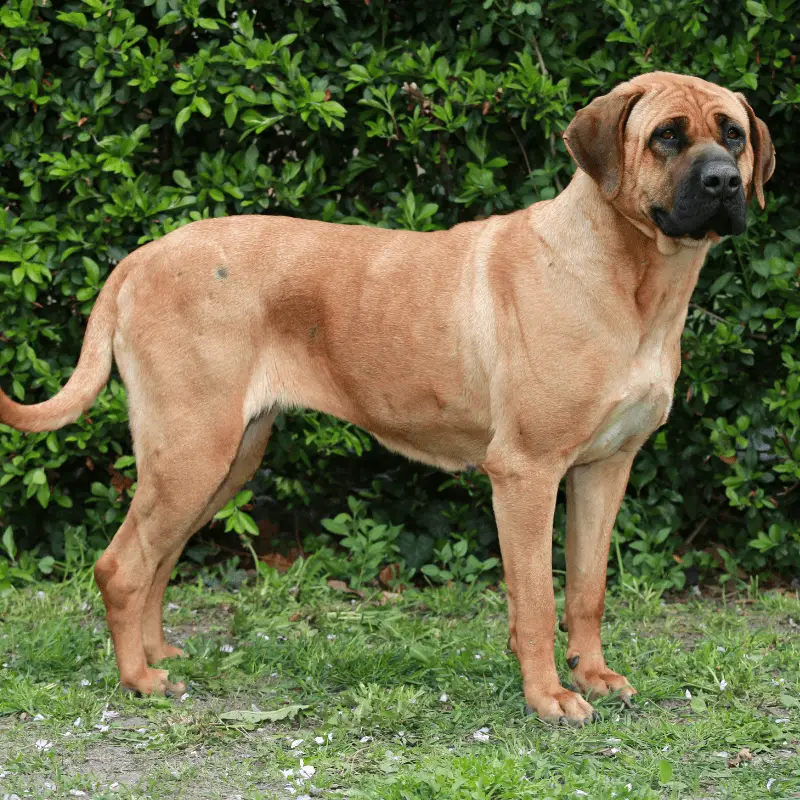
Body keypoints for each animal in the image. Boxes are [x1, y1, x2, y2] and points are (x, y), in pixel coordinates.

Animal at [0, 72, 776, 720]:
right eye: (666, 135)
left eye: (733, 133)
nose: (721, 182)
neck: (632, 278)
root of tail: (141, 256)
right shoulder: (526, 473)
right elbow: (535, 598)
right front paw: (549, 696)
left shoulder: (604, 468)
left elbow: (587, 589)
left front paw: (593, 674)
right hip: (192, 449)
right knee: (121, 566)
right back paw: (139, 679)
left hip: (224, 460)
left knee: (157, 559)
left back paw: (157, 652)